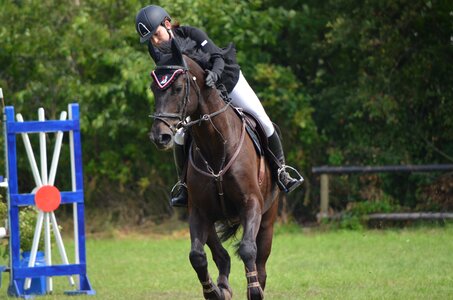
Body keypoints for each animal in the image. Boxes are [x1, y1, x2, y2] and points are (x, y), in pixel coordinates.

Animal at [148, 39, 278, 300]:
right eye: (153, 89)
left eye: (178, 88)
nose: (160, 136)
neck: (216, 146)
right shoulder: (199, 212)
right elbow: (197, 256)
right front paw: (214, 292)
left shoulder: (251, 204)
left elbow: (248, 250)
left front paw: (253, 290)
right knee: (221, 256)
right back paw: (223, 287)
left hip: (268, 219)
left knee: (260, 262)